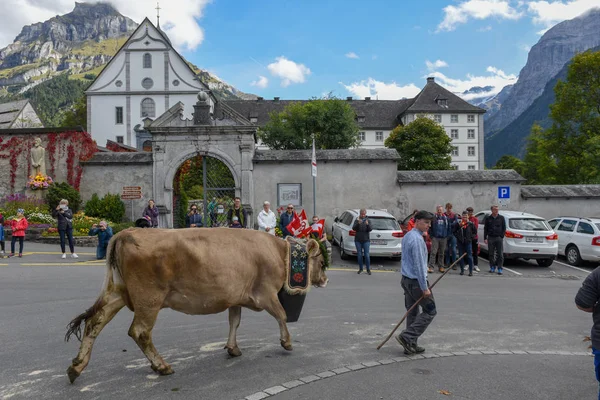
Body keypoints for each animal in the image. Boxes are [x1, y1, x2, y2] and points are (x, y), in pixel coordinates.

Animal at [65, 227, 328, 382]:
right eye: (322, 262)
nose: (325, 279)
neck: (277, 252)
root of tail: (126, 232)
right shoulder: (265, 293)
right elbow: (282, 314)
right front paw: (287, 342)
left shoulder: (235, 296)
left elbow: (234, 321)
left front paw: (232, 348)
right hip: (149, 299)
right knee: (139, 331)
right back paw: (161, 366)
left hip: (118, 293)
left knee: (94, 322)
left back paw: (76, 366)